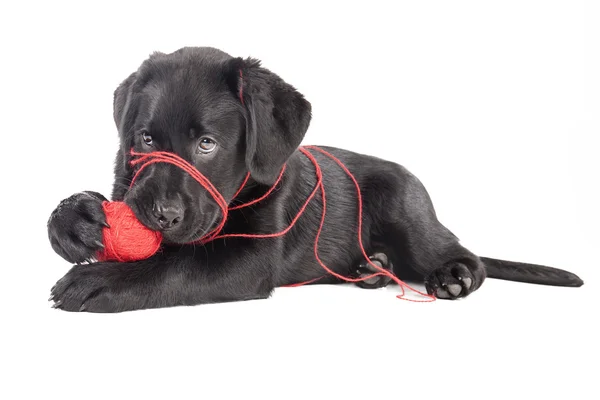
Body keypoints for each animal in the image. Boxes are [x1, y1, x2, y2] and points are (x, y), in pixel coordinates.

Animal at [49, 47, 584, 312]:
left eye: (207, 144)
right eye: (144, 138)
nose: (161, 215)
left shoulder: (244, 260)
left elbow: (174, 266)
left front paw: (101, 279)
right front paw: (75, 220)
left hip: (409, 212)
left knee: (463, 252)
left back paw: (453, 276)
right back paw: (372, 269)